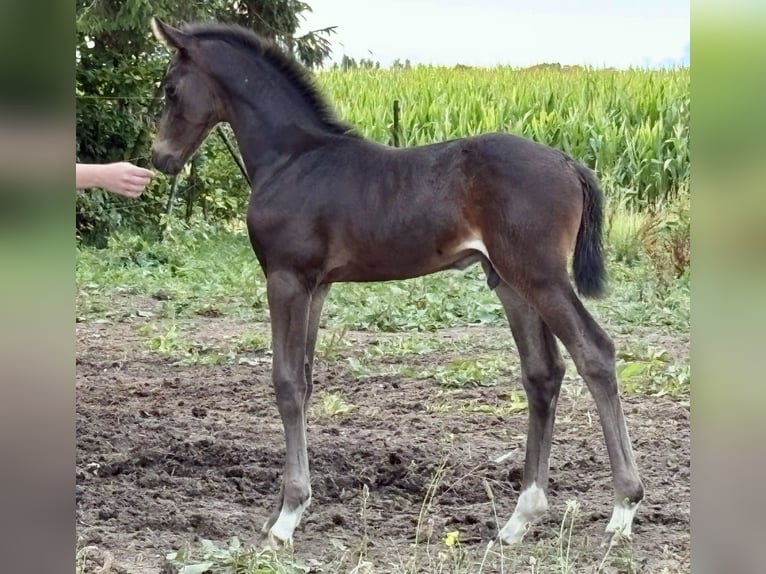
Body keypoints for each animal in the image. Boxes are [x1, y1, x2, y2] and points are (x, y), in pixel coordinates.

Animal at [149, 17, 644, 548]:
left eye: (171, 88)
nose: (160, 158)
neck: (293, 159)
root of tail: (569, 163)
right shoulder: (317, 287)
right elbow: (304, 379)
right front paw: (280, 510)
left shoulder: (286, 278)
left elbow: (285, 382)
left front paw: (287, 516)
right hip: (510, 281)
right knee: (543, 373)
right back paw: (519, 519)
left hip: (539, 276)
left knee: (595, 352)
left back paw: (623, 508)